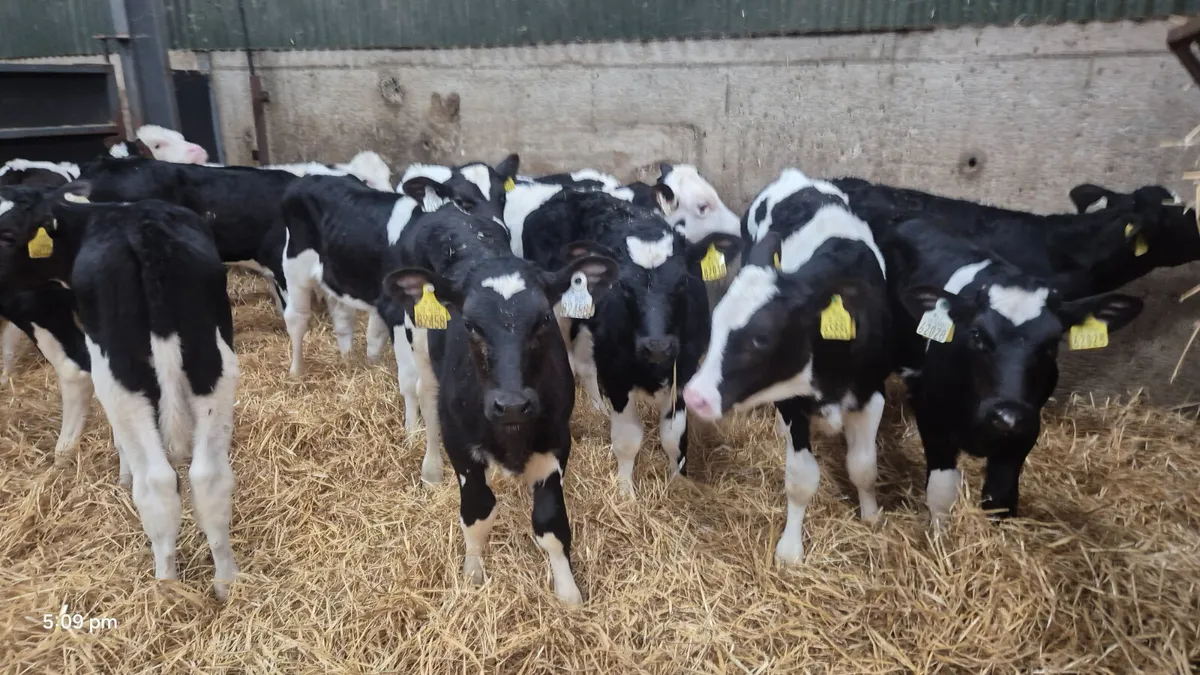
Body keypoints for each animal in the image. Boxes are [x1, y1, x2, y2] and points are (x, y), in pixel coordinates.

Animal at [0, 182, 239, 599]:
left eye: (9, 234)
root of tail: (146, 236)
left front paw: (123, 473)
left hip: (119, 378)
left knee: (157, 482)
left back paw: (165, 587)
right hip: (214, 367)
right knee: (208, 477)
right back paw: (226, 583)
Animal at [381, 195, 618, 604]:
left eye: (543, 319)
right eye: (470, 324)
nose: (511, 404)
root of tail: (447, 207)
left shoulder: (556, 442)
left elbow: (551, 523)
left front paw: (568, 592)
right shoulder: (461, 446)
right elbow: (478, 512)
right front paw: (473, 572)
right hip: (419, 335)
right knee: (425, 396)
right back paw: (430, 468)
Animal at [516, 187, 741, 494]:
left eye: (683, 281)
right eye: (623, 286)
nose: (657, 346)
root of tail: (567, 193)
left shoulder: (684, 371)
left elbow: (673, 435)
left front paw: (678, 481)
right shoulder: (617, 376)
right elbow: (627, 438)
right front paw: (625, 492)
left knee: (586, 365)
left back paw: (598, 408)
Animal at [682, 169, 891, 564]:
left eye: (761, 338)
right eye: (716, 323)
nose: (695, 396)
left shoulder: (872, 393)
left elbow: (863, 466)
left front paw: (871, 515)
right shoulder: (793, 401)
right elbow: (801, 478)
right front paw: (791, 548)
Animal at [882, 216, 1143, 525]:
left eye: (1052, 343)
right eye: (977, 335)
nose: (1006, 415)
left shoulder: (1024, 429)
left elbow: (1000, 499)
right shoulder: (932, 416)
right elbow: (941, 493)